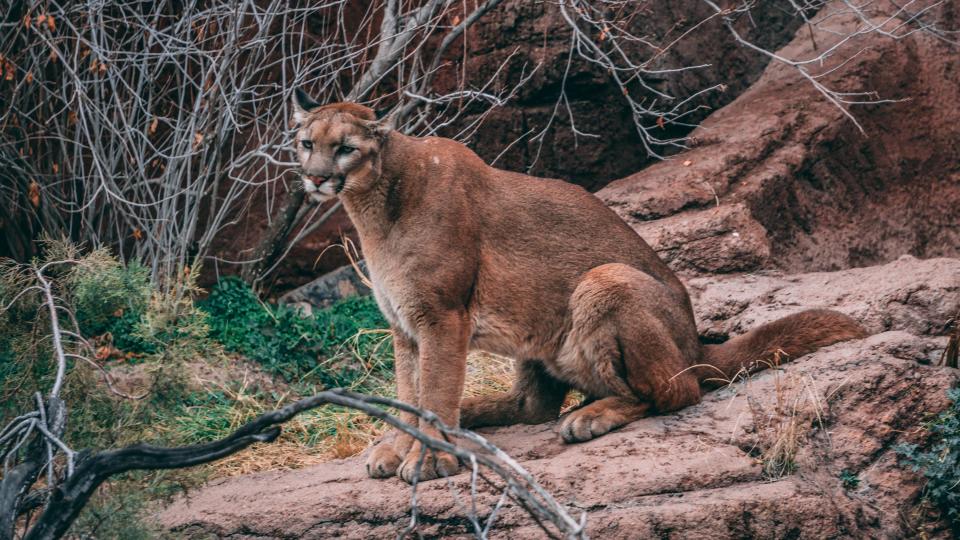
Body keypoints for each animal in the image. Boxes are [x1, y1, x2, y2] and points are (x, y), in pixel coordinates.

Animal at [288, 90, 868, 484]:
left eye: (345, 148)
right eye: (306, 144)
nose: (314, 177)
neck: (375, 206)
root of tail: (695, 341)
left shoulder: (441, 317)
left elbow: (431, 391)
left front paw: (429, 458)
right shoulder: (404, 325)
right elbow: (410, 392)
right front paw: (397, 446)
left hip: (604, 280)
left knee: (676, 391)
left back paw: (589, 416)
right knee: (535, 406)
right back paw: (477, 413)